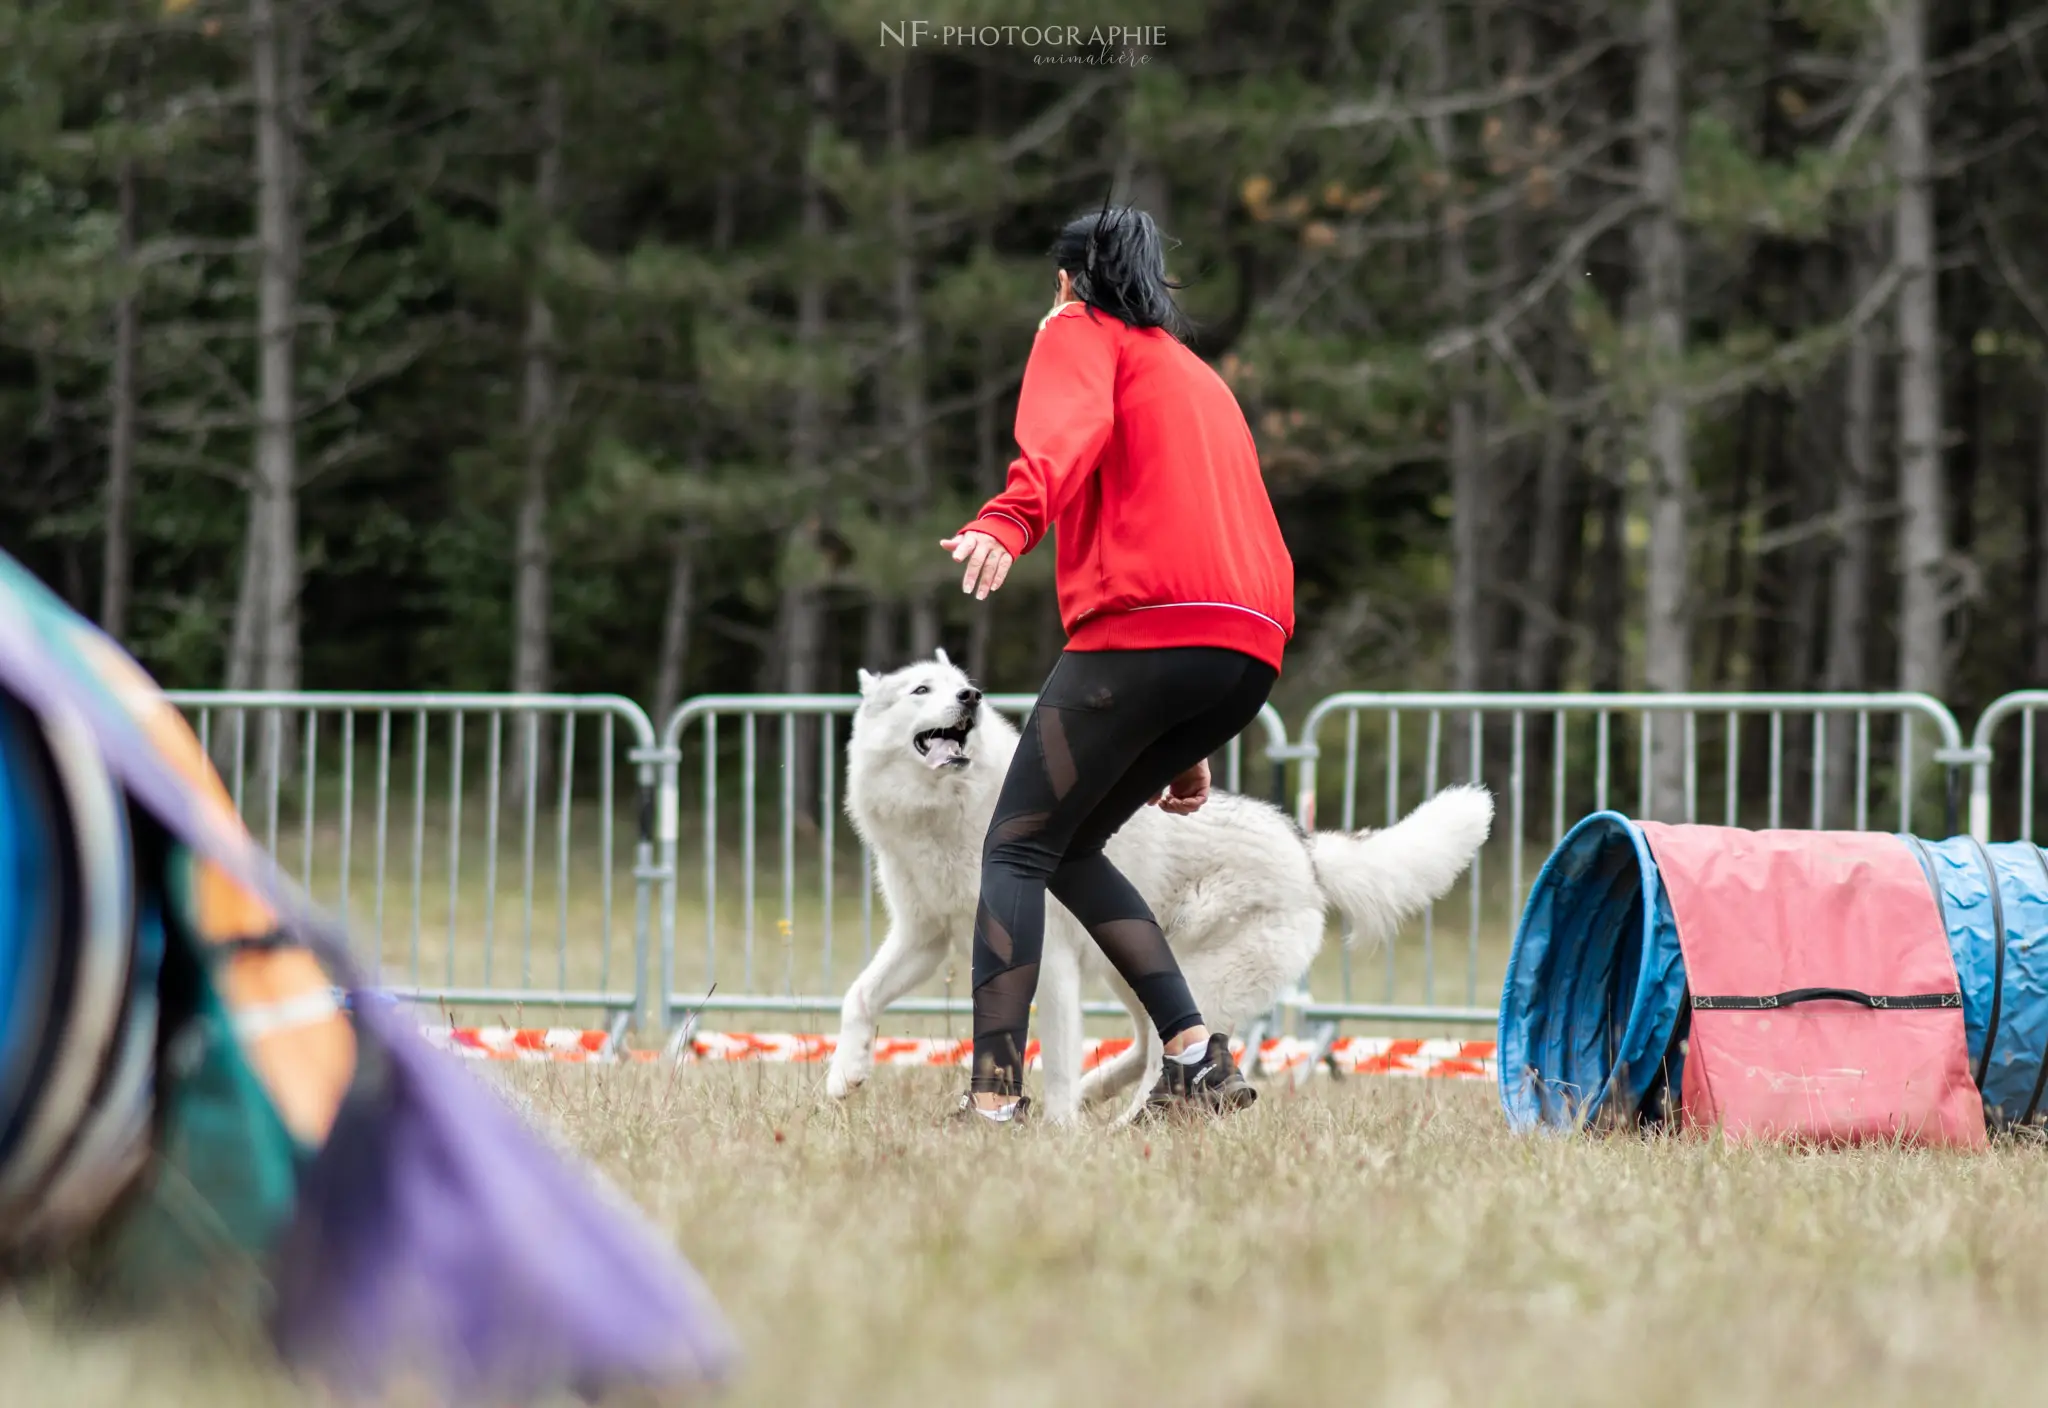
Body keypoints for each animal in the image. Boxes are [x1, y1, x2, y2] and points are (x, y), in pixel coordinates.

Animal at [823, 654, 1499, 1129]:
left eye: (958, 686)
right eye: (921, 690)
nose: (972, 697)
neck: (949, 814)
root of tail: (1304, 847)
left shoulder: (1049, 958)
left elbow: (1058, 1053)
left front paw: (1055, 1126)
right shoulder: (925, 938)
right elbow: (858, 996)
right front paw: (842, 1077)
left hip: (1189, 972)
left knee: (1171, 1053)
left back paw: (1125, 1126)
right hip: (1134, 963)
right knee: (1154, 1044)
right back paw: (1105, 1099)